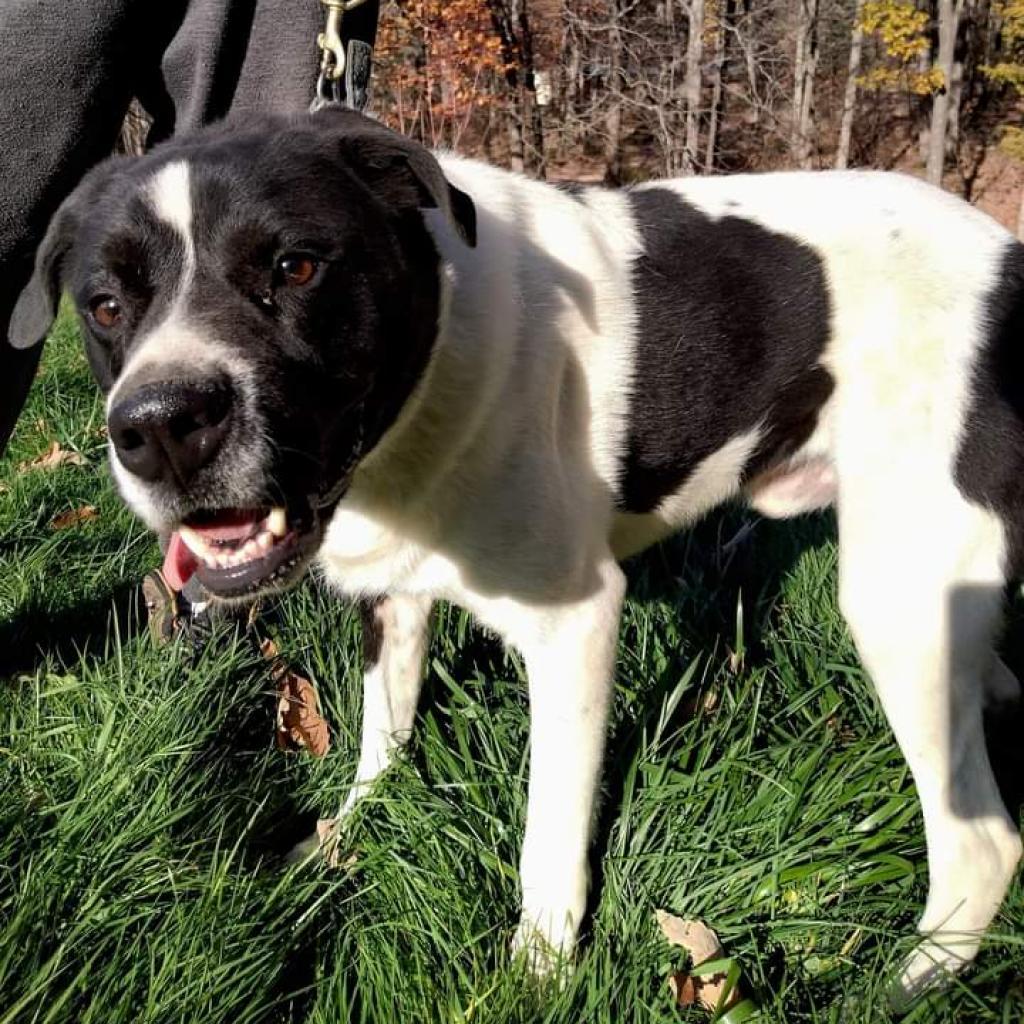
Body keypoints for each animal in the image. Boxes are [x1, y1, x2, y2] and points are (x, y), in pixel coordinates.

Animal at [9, 110, 1024, 999]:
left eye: (295, 266)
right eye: (105, 306)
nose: (159, 428)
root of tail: (1008, 255)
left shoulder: (574, 625)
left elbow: (550, 832)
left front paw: (537, 971)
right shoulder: (394, 597)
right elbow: (382, 734)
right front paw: (346, 837)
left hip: (900, 601)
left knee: (982, 841)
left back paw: (910, 983)